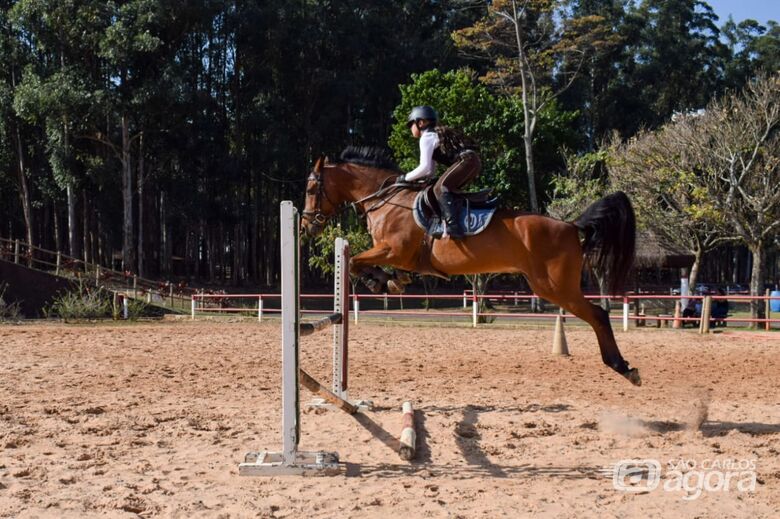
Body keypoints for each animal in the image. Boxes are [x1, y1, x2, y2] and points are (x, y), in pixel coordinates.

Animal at [298, 146, 640, 386]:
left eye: (312, 189)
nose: (306, 226)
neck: (385, 201)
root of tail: (571, 225)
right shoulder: (399, 257)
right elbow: (372, 266)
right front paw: (392, 282)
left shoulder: (393, 250)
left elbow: (356, 262)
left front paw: (377, 281)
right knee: (598, 315)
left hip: (556, 287)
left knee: (598, 315)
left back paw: (622, 367)